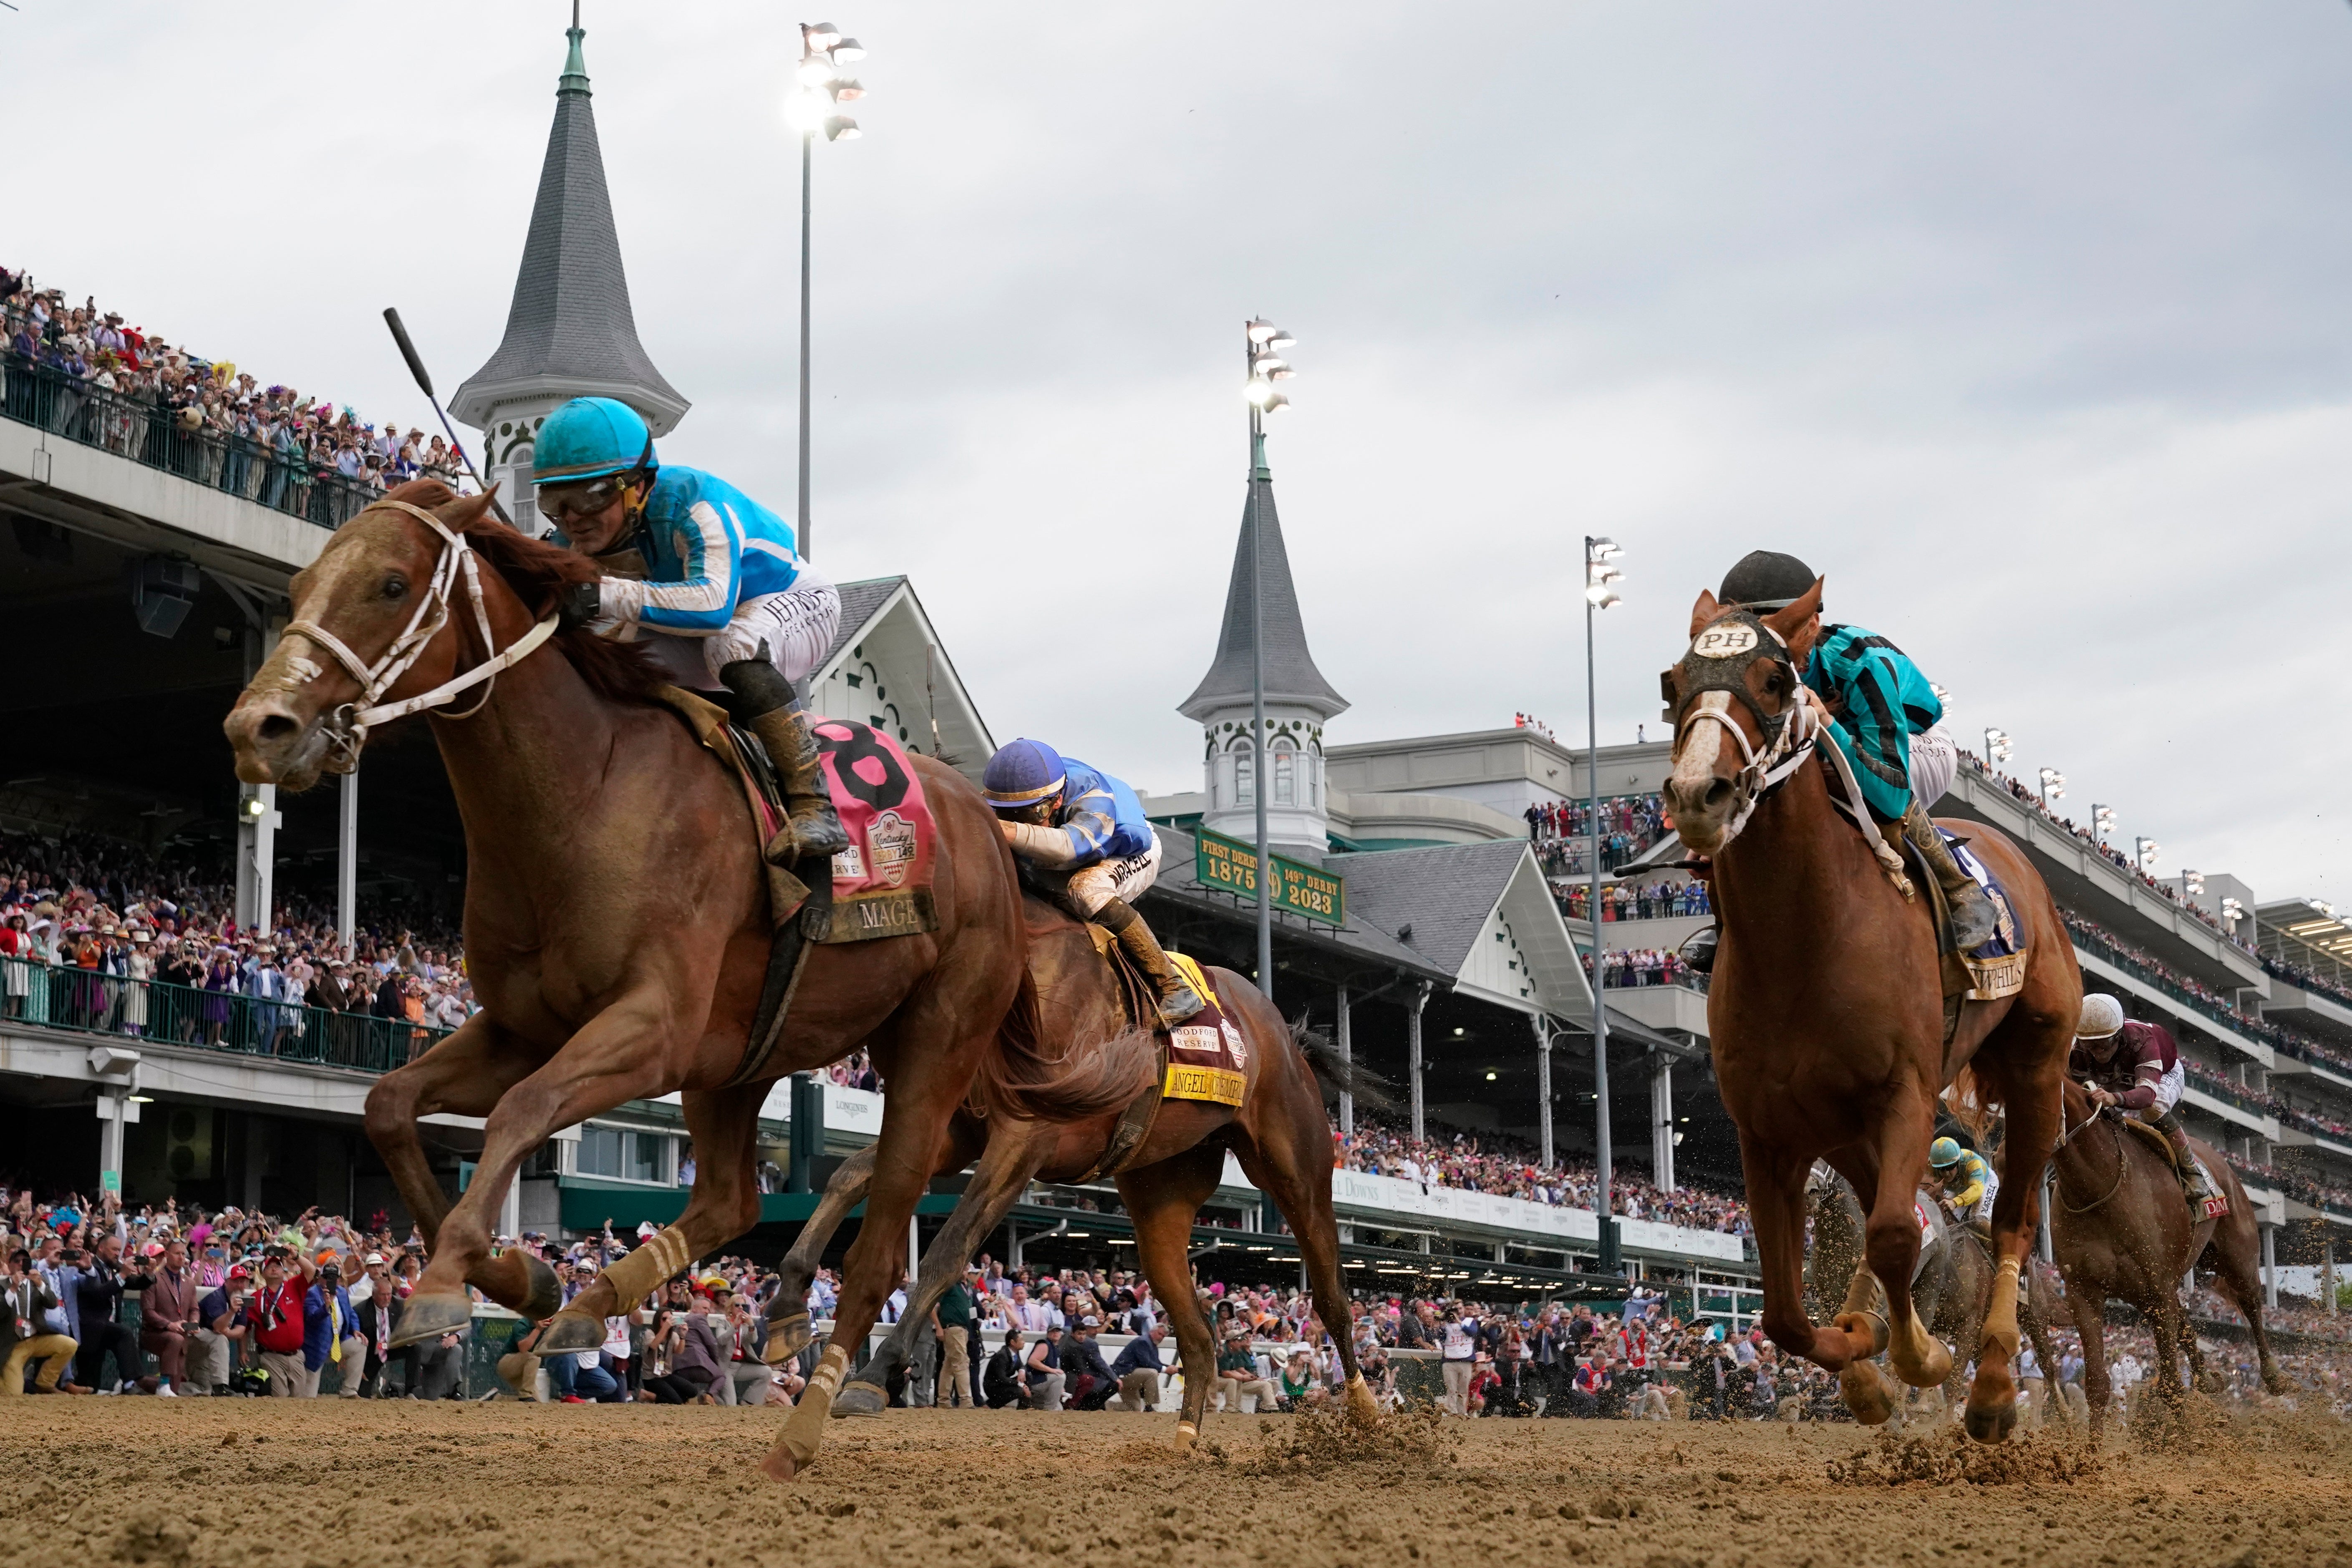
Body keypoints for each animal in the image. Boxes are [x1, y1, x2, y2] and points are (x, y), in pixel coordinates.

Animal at [222, 484, 1129, 1476]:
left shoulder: (650, 1027)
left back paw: (816, 1410)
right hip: (741, 1058)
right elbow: (389, 1106)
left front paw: (451, 1281)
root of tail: (992, 837)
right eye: (301, 583)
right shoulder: (523, 1026)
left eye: (390, 583)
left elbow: (522, 1111)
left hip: (934, 1046)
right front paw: (522, 1279)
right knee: (735, 1197)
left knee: (890, 1239)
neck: (586, 793)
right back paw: (595, 1314)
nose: (257, 728)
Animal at [752, 893, 1374, 1448]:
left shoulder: (1025, 1134)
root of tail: (1286, 1036)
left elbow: (948, 1248)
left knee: (1331, 1296)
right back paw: (1184, 1440)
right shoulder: (961, 1129)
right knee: (1199, 1335)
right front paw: (787, 1306)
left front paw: (874, 1373)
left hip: (1297, 1169)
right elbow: (850, 1174)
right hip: (1161, 1193)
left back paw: (1369, 1416)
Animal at [1665, 583, 2088, 1439]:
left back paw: (1994, 1388)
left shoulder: (1905, 1093)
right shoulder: (1769, 1128)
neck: (1804, 939)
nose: (1698, 794)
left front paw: (1920, 1360)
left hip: (2034, 1069)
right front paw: (1868, 1367)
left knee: (2013, 1221)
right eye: (1671, 685)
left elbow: (1895, 1235)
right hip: (1848, 1125)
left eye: (1773, 680)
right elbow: (1785, 1312)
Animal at [2051, 1081, 2286, 1439]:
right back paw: (2206, 1378)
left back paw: (2272, 1376)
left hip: (2236, 1258)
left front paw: (2182, 1441)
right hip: (2146, 1291)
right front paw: (2093, 1448)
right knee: (2186, 1323)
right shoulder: (2082, 1289)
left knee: (2250, 1305)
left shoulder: (2157, 1283)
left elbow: (2172, 1384)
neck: (2098, 1188)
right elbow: (2097, 1384)